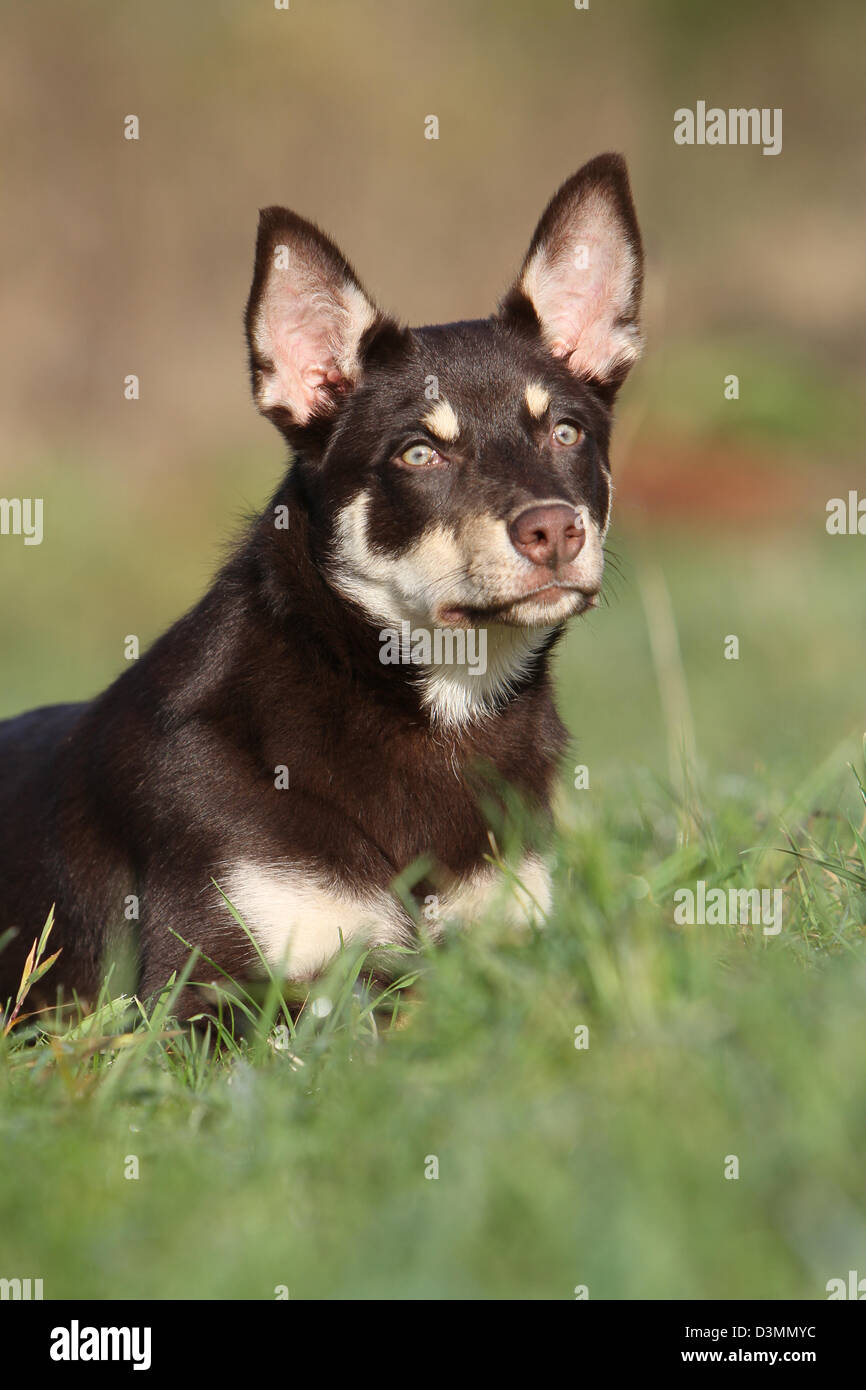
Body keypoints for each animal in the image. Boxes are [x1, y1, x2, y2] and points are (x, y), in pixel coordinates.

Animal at [0, 154, 639, 1023]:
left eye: (567, 433)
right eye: (417, 453)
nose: (554, 531)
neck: (432, 708)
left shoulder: (516, 938)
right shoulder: (200, 994)